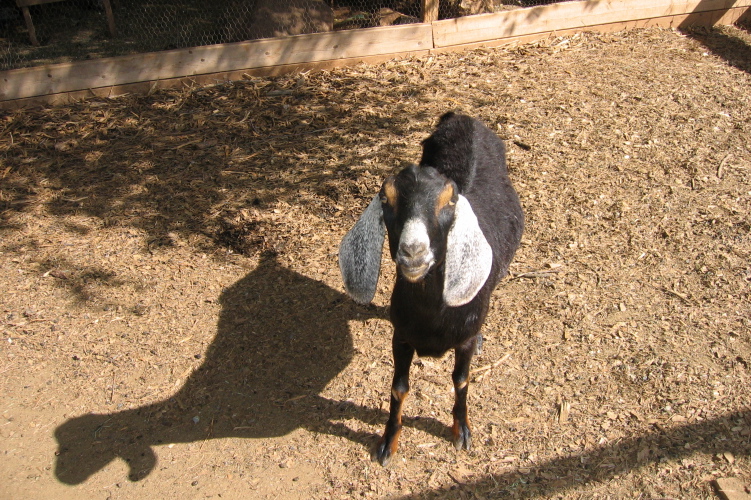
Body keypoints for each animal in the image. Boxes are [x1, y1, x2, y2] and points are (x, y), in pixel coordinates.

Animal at [339, 112, 524, 465]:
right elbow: (399, 388)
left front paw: (461, 431)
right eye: (385, 199)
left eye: (449, 200)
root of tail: (462, 116)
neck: (431, 315)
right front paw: (388, 443)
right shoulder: (401, 336)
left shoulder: (462, 340)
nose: (413, 251)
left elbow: (461, 380)